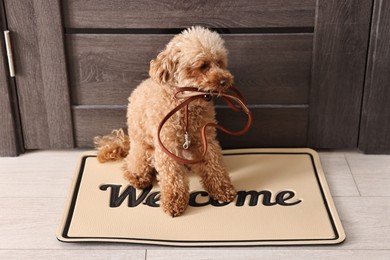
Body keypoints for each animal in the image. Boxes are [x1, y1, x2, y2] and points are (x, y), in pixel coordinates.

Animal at [95, 26, 238, 217]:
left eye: (220, 62)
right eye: (203, 66)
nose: (225, 81)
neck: (186, 105)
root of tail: (128, 142)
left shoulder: (205, 137)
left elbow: (214, 164)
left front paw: (222, 189)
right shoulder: (166, 144)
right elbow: (172, 176)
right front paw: (173, 202)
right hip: (144, 152)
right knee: (130, 165)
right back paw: (137, 177)